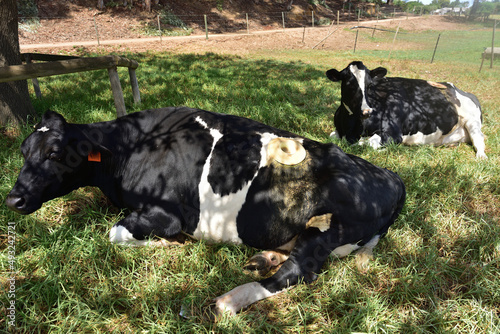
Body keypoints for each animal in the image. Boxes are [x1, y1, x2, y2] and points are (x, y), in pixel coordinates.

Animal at [4, 108, 406, 318]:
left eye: (55, 153)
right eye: (24, 150)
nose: (13, 200)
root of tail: (391, 176)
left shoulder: (169, 215)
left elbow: (116, 232)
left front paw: (170, 244)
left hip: (326, 227)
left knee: (296, 272)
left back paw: (229, 300)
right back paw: (262, 258)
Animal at [326, 61, 486, 159]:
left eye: (370, 85)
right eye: (349, 84)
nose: (366, 112)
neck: (351, 128)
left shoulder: (393, 134)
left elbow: (364, 144)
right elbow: (333, 136)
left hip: (473, 121)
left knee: (479, 139)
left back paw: (481, 156)